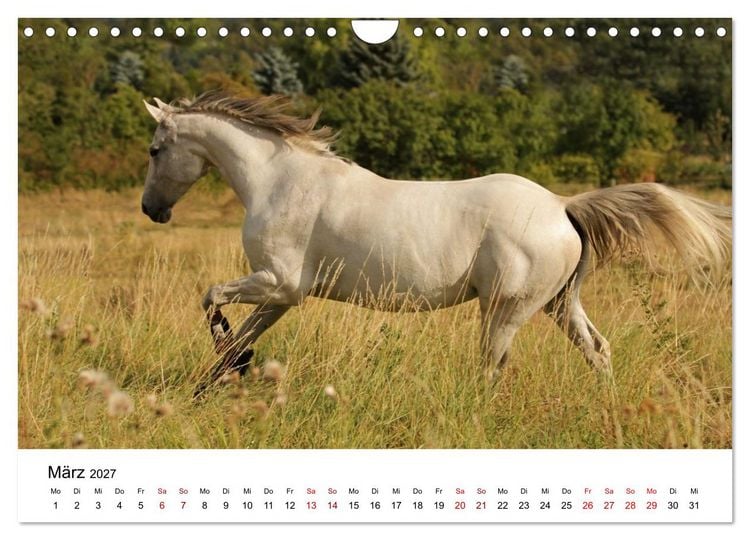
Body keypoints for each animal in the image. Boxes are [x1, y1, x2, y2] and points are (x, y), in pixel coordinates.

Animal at [140, 91, 731, 394]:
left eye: (154, 150)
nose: (152, 209)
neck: (280, 178)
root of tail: (563, 207)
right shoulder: (280, 297)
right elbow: (240, 335)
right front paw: (221, 378)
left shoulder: (278, 285)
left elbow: (212, 299)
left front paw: (229, 369)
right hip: (560, 303)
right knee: (598, 351)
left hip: (506, 310)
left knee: (492, 367)